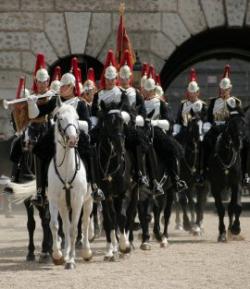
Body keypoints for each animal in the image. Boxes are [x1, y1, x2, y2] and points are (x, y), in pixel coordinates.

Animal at [48, 98, 93, 268]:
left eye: (77, 118)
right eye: (60, 118)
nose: (73, 139)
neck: (67, 169)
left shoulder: (78, 201)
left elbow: (75, 229)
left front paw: (72, 261)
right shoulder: (54, 200)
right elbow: (55, 225)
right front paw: (58, 255)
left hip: (89, 201)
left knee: (85, 223)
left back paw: (86, 252)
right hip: (63, 205)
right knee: (66, 226)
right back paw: (66, 253)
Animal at [207, 112, 244, 241]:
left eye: (244, 123)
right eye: (231, 125)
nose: (238, 143)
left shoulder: (236, 184)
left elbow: (236, 206)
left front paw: (236, 228)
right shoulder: (215, 186)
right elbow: (220, 209)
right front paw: (222, 232)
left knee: (231, 208)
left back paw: (231, 230)